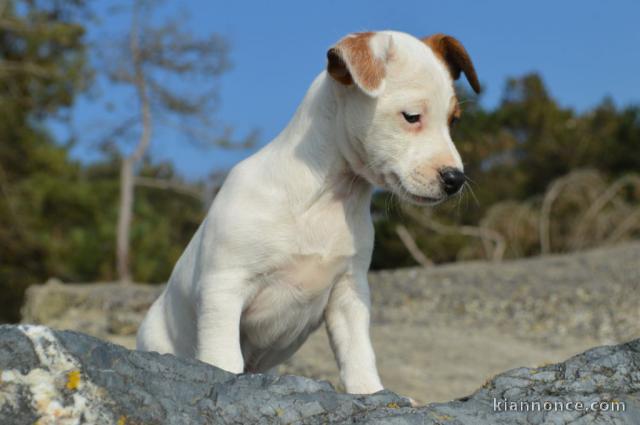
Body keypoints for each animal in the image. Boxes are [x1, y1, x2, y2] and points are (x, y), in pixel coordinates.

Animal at [138, 29, 478, 394]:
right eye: (412, 116)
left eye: (453, 121)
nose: (455, 179)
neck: (327, 199)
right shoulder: (223, 287)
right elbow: (223, 357)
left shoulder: (348, 295)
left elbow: (359, 355)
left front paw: (371, 392)